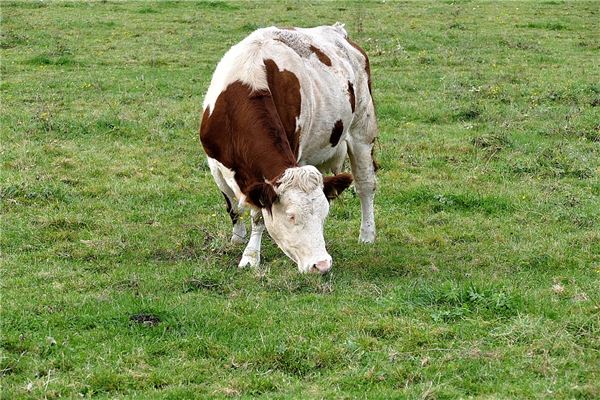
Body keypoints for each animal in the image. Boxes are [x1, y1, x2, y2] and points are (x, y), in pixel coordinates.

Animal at [202, 23, 380, 274]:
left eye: (324, 215)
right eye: (291, 216)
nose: (322, 264)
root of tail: (338, 32)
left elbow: (258, 215)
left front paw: (250, 256)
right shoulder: (215, 164)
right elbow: (232, 205)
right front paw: (238, 238)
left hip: (362, 132)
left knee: (365, 185)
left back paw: (367, 234)